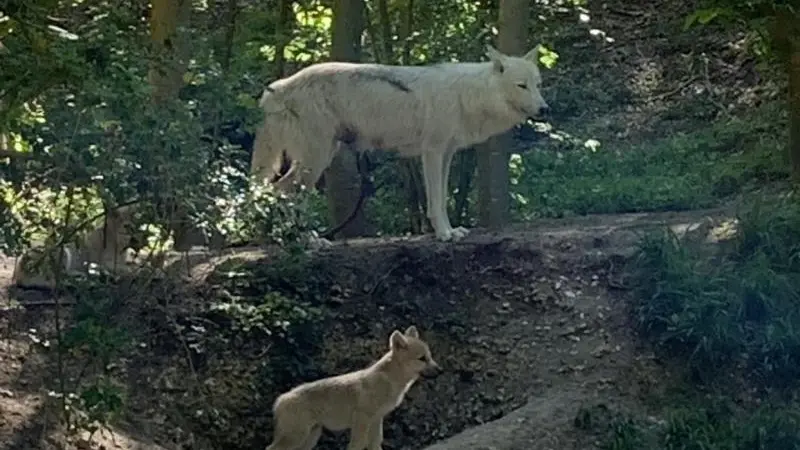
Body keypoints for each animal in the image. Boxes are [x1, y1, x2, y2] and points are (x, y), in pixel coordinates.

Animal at [250, 45, 552, 243]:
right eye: (521, 85)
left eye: (537, 84)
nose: (544, 109)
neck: (468, 96)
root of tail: (276, 88)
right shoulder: (432, 152)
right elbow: (436, 200)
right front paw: (443, 234)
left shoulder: (446, 154)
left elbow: (441, 198)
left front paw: (450, 231)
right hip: (316, 159)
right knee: (281, 191)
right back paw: (303, 240)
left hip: (320, 157)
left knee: (283, 193)